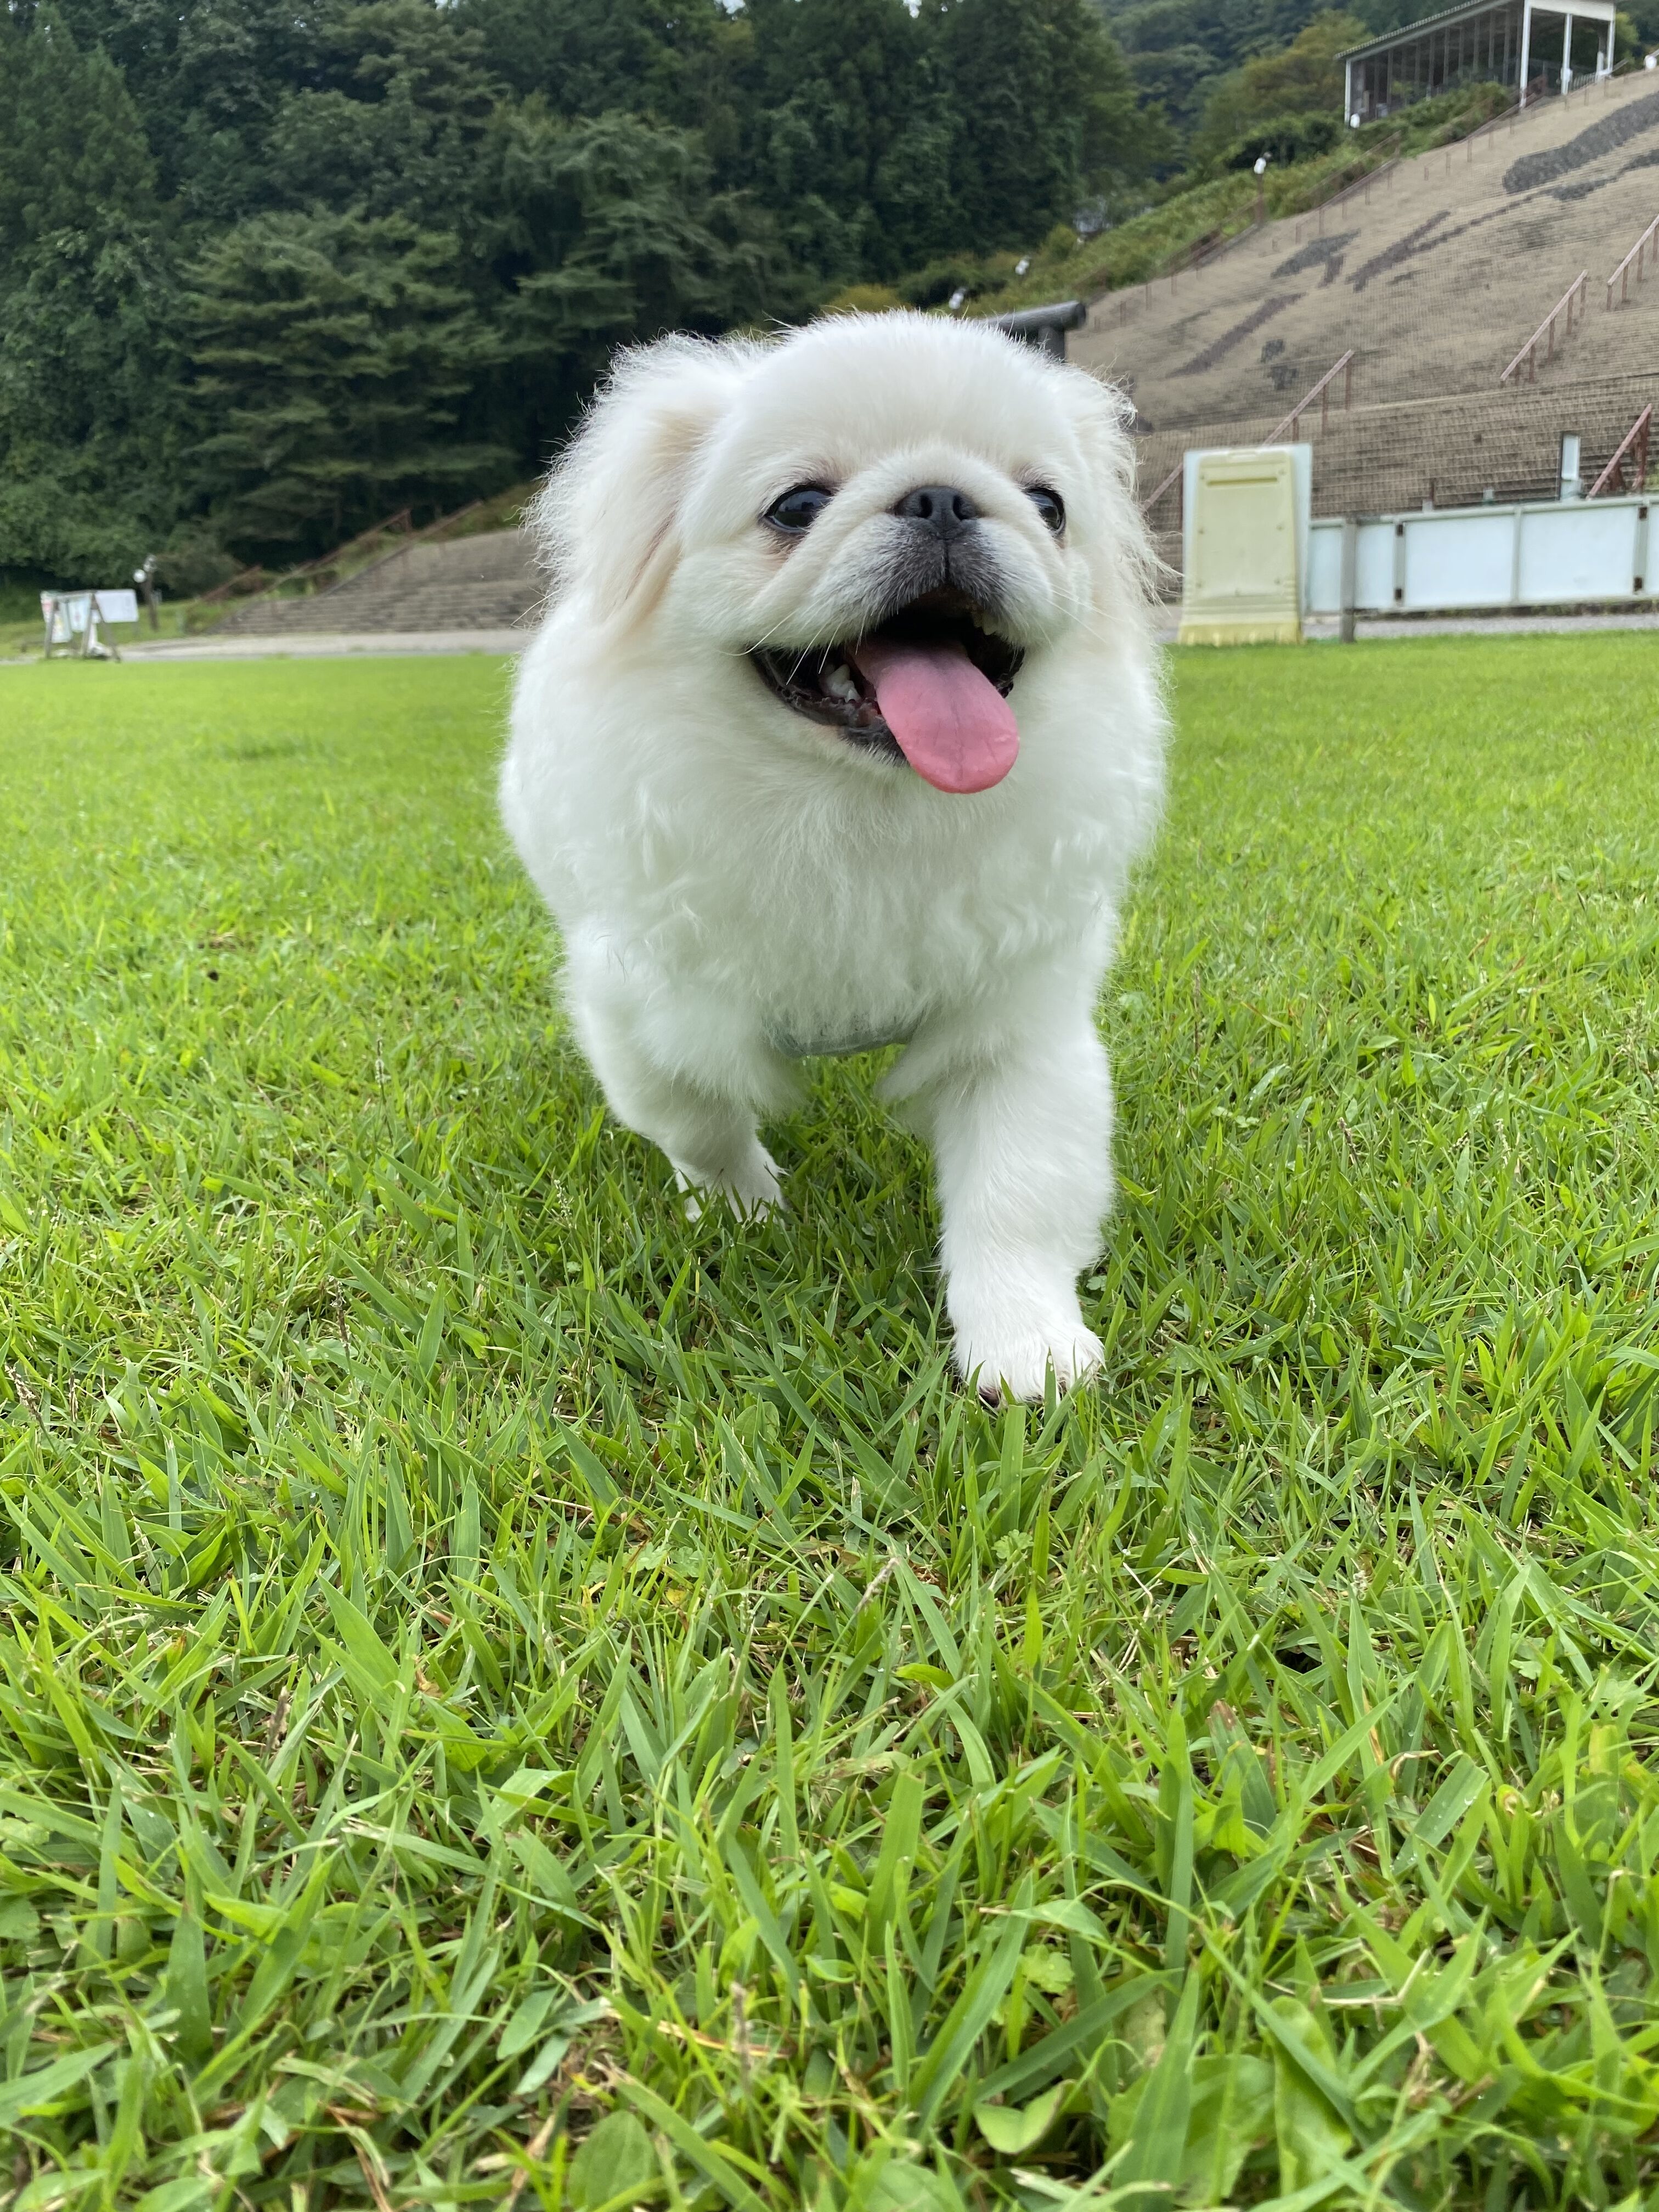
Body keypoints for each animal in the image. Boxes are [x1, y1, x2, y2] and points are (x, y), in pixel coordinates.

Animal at [506, 307, 1167, 1398]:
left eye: (1048, 505)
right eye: (798, 506)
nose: (943, 496)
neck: (859, 810)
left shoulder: (1016, 1026)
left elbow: (1017, 1191)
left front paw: (1022, 1345)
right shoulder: (643, 1003)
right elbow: (702, 1115)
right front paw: (746, 1212)